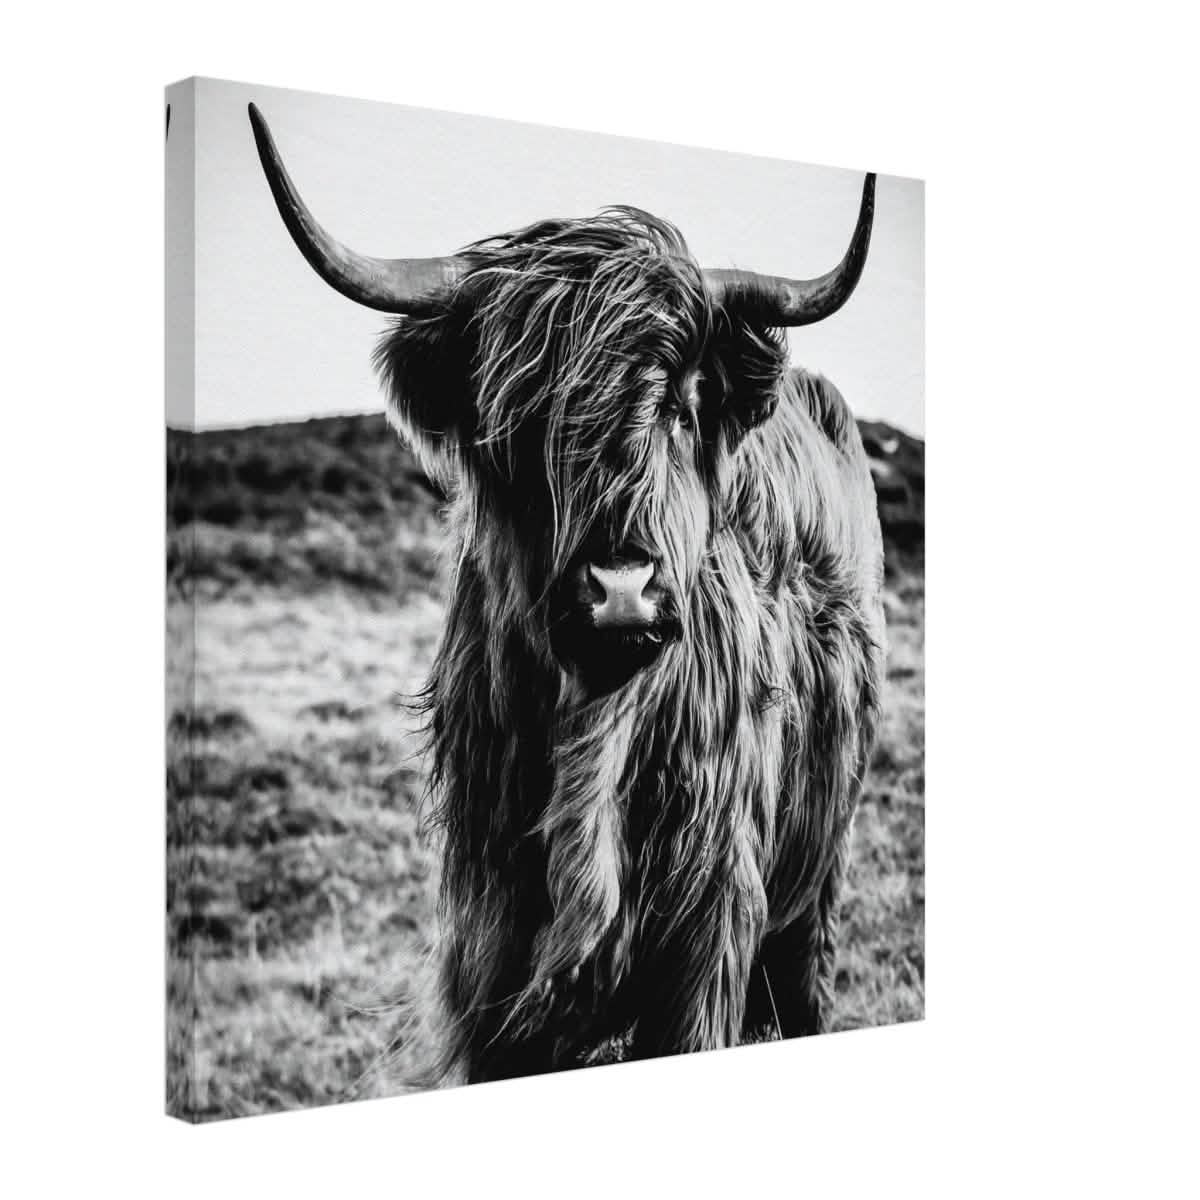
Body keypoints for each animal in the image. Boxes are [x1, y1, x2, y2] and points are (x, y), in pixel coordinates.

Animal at [248, 104, 886, 1085]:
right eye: (520, 415)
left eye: (680, 403)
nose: (621, 587)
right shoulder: (492, 949)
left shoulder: (706, 938)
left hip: (817, 875)